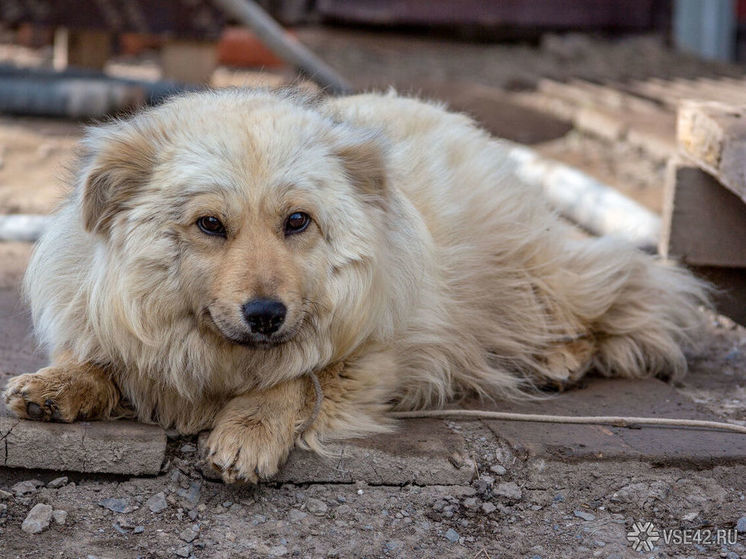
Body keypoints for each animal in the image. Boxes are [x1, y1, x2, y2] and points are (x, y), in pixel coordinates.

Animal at [2, 89, 708, 484]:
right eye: (209, 225)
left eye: (297, 221)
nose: (266, 314)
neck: (219, 356)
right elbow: (99, 356)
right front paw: (57, 385)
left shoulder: (372, 359)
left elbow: (296, 381)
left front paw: (248, 429)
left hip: (533, 275)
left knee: (628, 294)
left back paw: (563, 357)